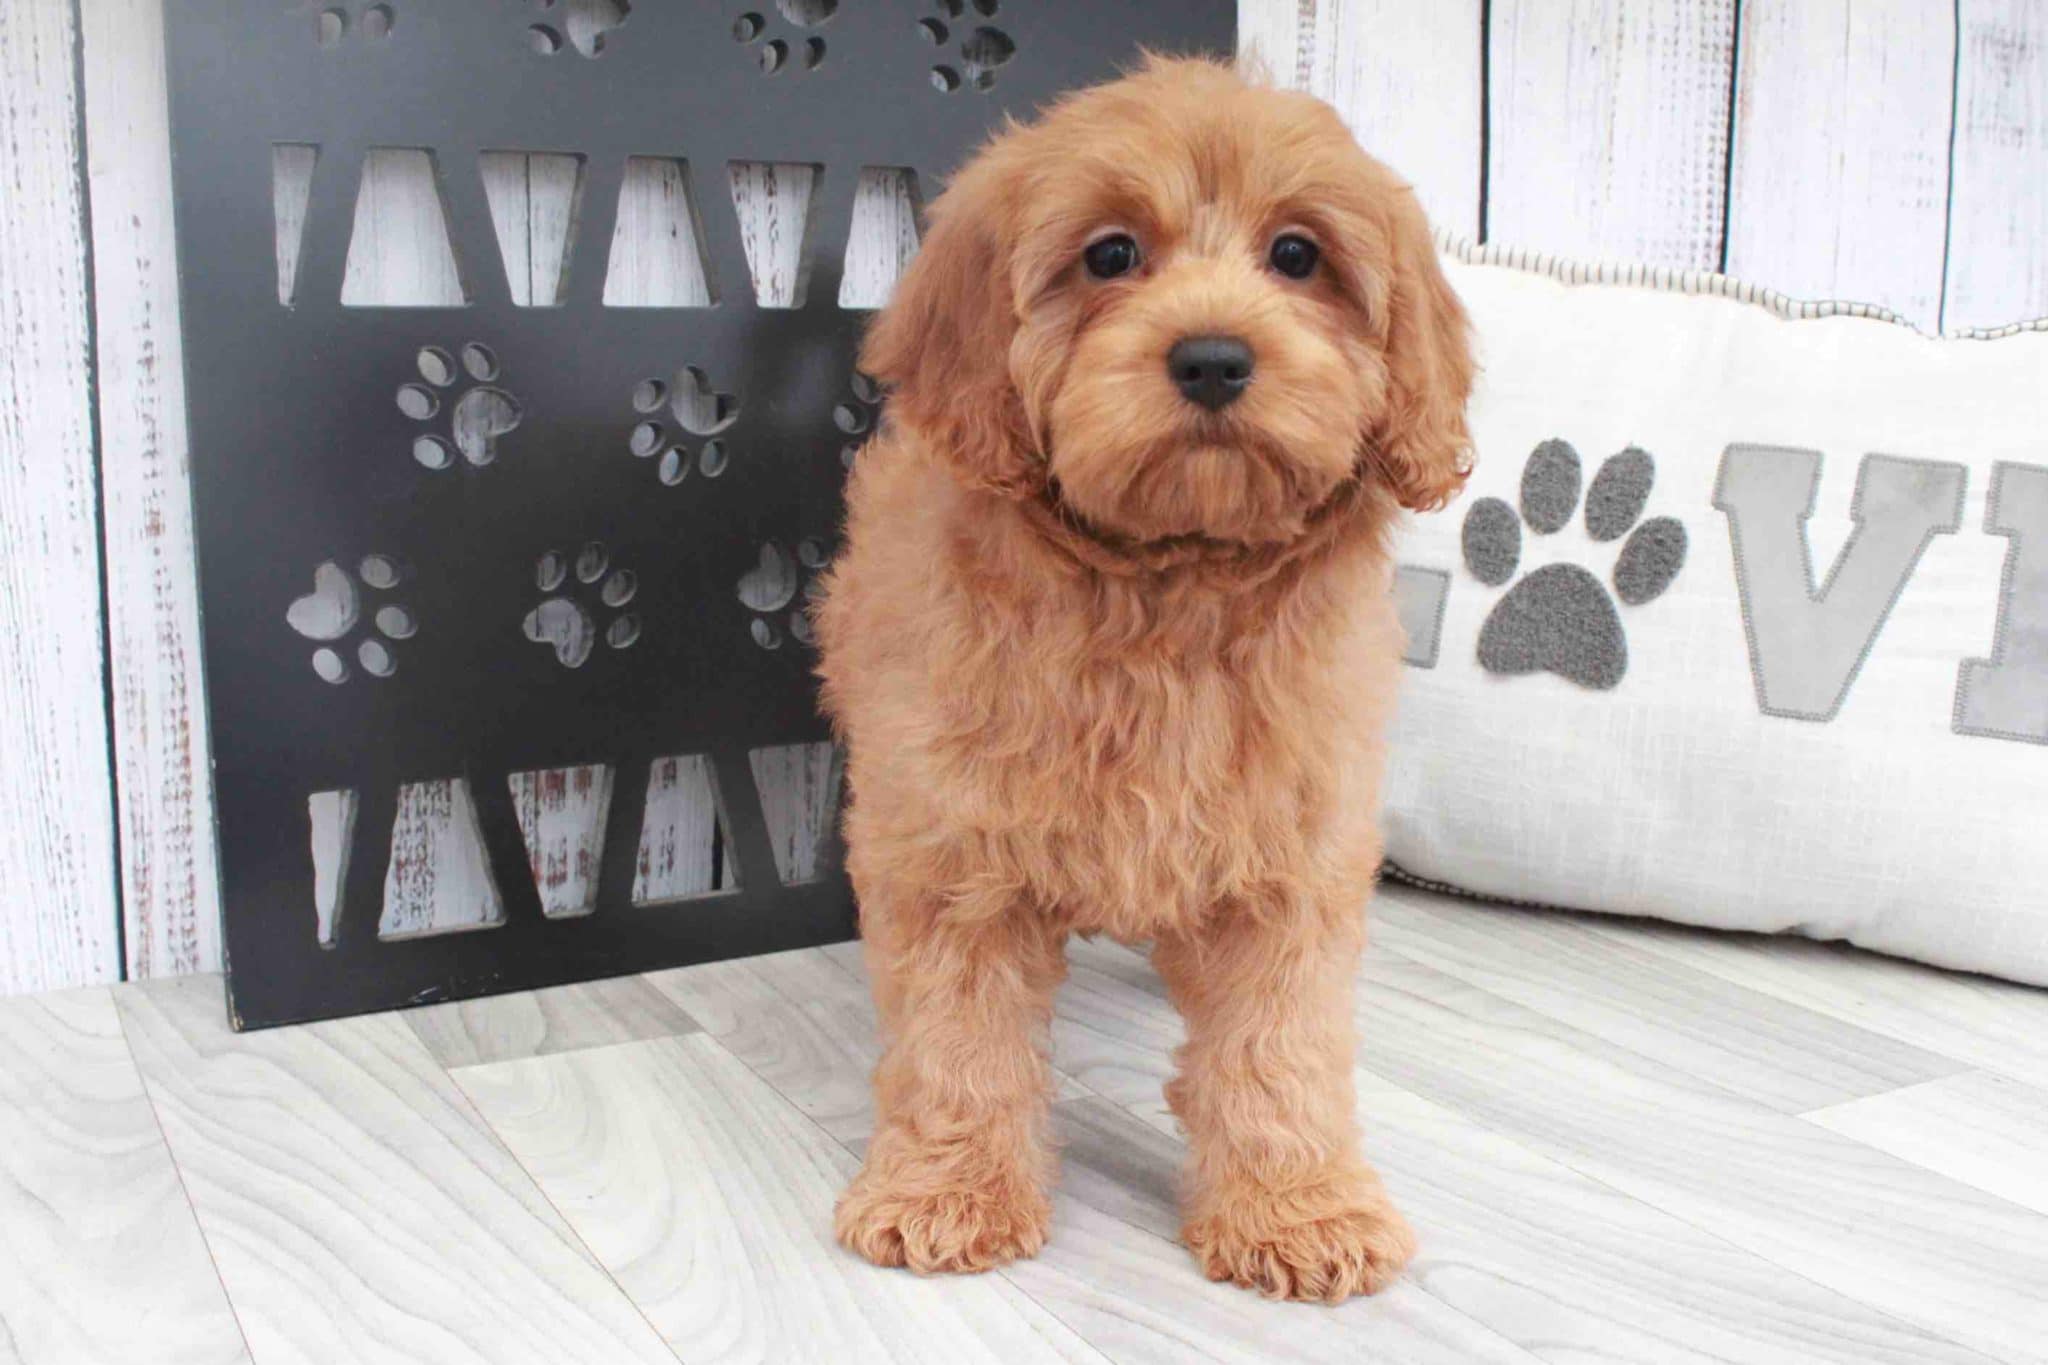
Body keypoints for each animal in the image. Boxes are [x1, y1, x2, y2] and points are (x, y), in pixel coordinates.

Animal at [812, 55, 1473, 1303]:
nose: (1212, 356)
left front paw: (1296, 1205)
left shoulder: (1290, 850)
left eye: (1297, 255)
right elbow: (956, 1037)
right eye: (1109, 253)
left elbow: (1279, 1043)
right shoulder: (949, 839)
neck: (1169, 574)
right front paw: (947, 1192)